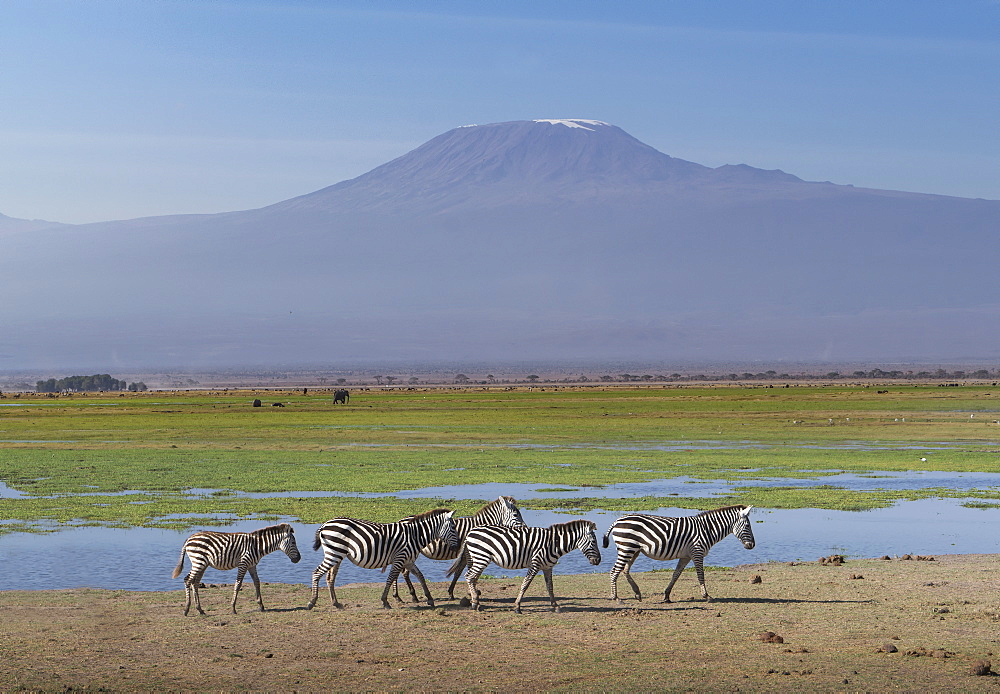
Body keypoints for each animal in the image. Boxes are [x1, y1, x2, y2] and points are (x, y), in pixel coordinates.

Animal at [170, 524, 300, 616]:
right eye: (293, 542)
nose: (298, 559)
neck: (257, 546)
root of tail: (189, 539)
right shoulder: (243, 563)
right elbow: (238, 584)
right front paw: (233, 608)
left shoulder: (252, 565)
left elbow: (257, 583)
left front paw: (261, 606)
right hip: (198, 561)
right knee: (187, 580)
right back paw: (186, 610)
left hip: (202, 564)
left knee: (195, 583)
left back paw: (200, 610)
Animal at [306, 508, 458, 612]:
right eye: (453, 528)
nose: (457, 548)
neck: (414, 536)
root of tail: (325, 524)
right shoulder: (400, 558)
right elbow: (390, 579)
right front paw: (385, 602)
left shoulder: (408, 561)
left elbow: (420, 576)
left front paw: (430, 599)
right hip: (334, 553)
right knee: (316, 573)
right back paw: (312, 602)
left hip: (337, 554)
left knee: (330, 578)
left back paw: (336, 604)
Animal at [394, 494, 528, 604]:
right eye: (516, 515)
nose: (526, 528)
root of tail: (400, 520)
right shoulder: (470, 552)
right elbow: (469, 569)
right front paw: (472, 592)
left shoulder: (466, 553)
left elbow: (458, 572)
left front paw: (452, 593)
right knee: (403, 571)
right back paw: (402, 597)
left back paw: (407, 596)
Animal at [452, 520, 600, 616]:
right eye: (593, 542)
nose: (598, 561)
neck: (554, 544)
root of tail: (470, 532)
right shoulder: (535, 564)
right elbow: (525, 585)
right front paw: (517, 607)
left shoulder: (548, 567)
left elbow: (550, 587)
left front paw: (556, 606)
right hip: (481, 557)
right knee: (469, 576)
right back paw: (475, 604)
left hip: (477, 558)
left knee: (473, 578)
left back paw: (475, 602)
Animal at [596, 506, 752, 604]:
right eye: (748, 526)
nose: (752, 545)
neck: (707, 530)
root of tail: (617, 521)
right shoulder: (697, 552)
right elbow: (700, 575)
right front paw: (706, 596)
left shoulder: (685, 556)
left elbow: (675, 575)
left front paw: (666, 596)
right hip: (626, 548)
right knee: (614, 571)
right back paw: (616, 598)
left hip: (633, 550)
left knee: (625, 570)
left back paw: (637, 593)